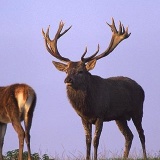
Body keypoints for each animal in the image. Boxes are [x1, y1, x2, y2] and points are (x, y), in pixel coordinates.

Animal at [42, 18, 147, 159]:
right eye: (66, 71)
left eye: (80, 71)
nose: (67, 80)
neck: (88, 106)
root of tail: (141, 88)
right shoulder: (83, 118)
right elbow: (87, 140)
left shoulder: (100, 114)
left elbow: (96, 140)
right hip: (120, 117)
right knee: (129, 136)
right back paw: (124, 156)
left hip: (138, 110)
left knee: (141, 134)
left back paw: (145, 156)